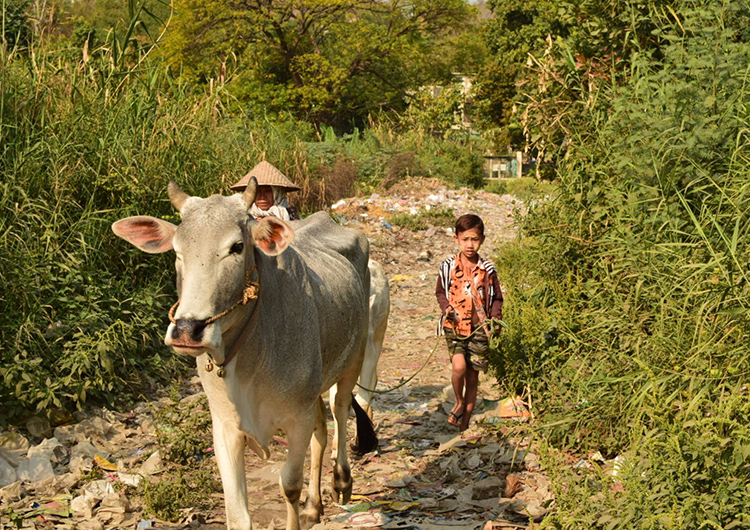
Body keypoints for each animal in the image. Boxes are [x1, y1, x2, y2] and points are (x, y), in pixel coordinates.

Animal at [113, 177, 376, 528]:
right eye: (177, 251)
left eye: (237, 247)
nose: (187, 330)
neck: (252, 355)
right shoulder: (225, 427)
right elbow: (237, 513)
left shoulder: (297, 417)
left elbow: (289, 485)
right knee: (321, 431)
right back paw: (313, 505)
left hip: (353, 359)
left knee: (341, 409)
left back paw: (341, 481)